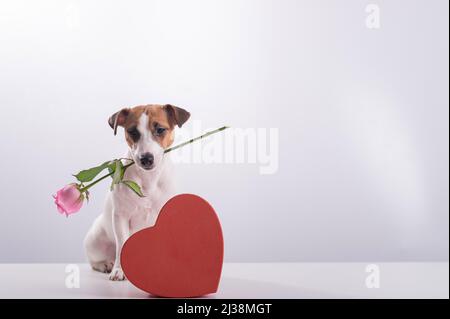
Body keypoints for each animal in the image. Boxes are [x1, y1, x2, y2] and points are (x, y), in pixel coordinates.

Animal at [83, 104, 189, 280]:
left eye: (160, 129)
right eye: (132, 131)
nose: (146, 158)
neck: (148, 180)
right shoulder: (121, 217)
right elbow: (122, 244)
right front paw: (119, 270)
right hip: (96, 239)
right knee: (94, 260)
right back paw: (105, 264)